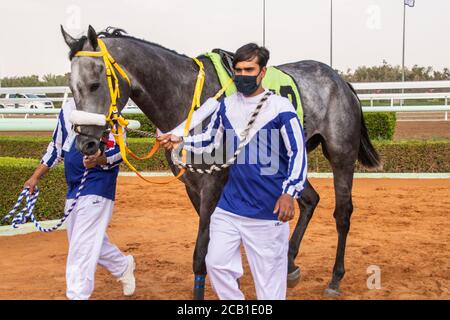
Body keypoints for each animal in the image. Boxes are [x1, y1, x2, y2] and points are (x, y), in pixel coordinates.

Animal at [61, 25, 380, 300]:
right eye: (72, 88)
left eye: (94, 84)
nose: (86, 143)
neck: (187, 98)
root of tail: (341, 82)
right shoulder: (192, 186)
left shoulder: (214, 183)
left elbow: (201, 253)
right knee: (310, 200)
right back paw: (289, 264)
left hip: (341, 154)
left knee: (343, 213)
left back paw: (335, 278)